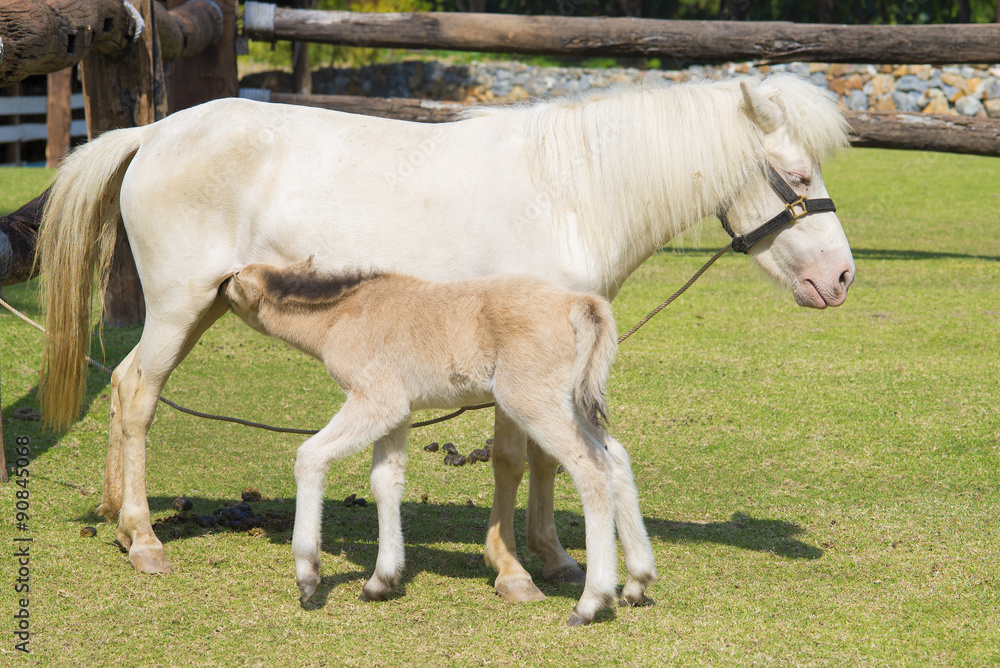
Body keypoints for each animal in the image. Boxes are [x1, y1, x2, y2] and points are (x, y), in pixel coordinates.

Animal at [220, 258, 656, 625]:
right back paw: (637, 582)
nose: (219, 288)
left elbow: (309, 455)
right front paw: (381, 581)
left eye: (232, 281)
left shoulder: (375, 400)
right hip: (573, 402)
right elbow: (385, 481)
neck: (344, 314)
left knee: (591, 468)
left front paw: (308, 575)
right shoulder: (397, 412)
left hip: (532, 401)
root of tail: (576, 301)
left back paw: (590, 602)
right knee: (616, 458)